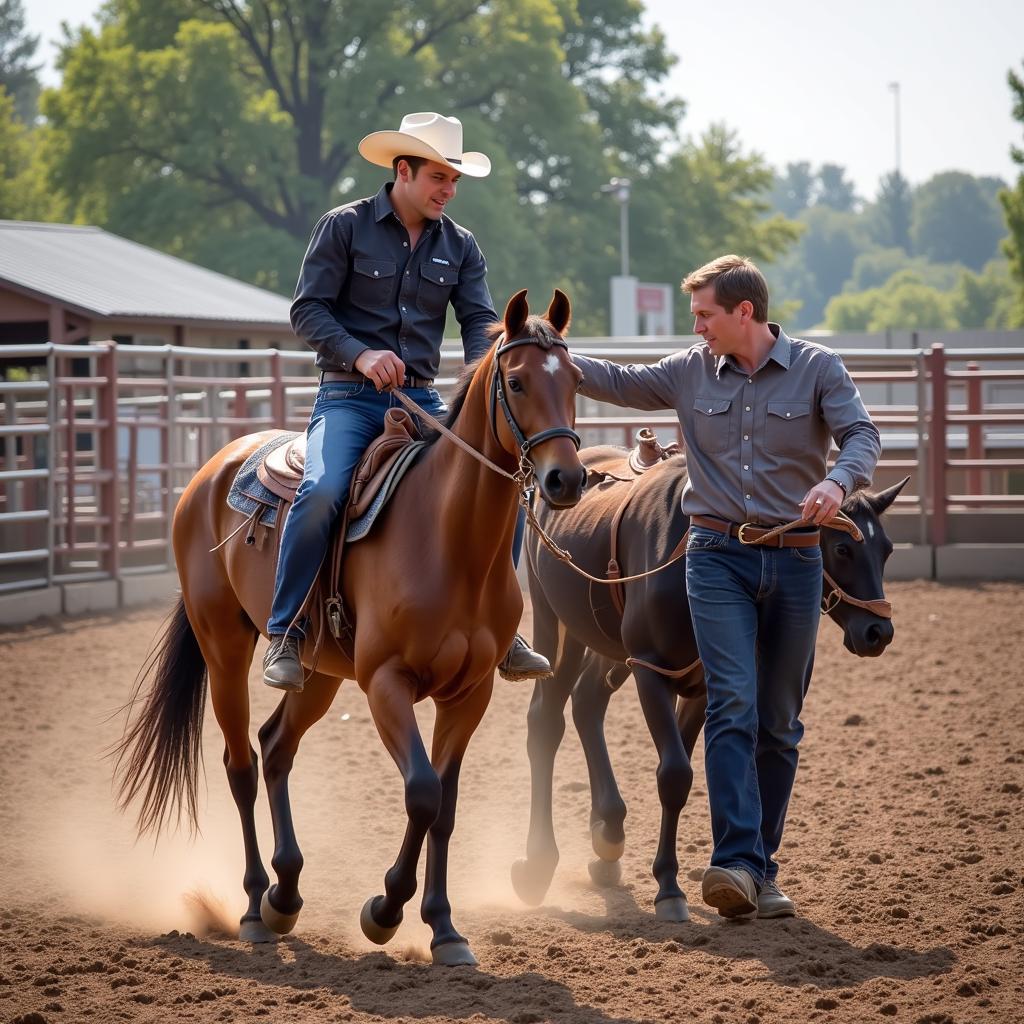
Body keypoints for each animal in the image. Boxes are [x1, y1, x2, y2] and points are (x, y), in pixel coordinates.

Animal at [114, 290, 585, 966]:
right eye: (517, 381)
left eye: (574, 379)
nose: (565, 479)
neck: (451, 542)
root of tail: (213, 470)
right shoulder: (386, 682)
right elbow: (421, 792)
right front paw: (384, 912)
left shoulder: (470, 694)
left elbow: (445, 808)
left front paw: (445, 929)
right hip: (224, 648)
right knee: (240, 764)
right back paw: (253, 909)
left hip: (318, 673)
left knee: (275, 746)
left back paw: (286, 895)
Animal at [512, 444, 905, 925]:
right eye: (843, 547)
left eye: (886, 549)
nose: (878, 632)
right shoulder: (651, 671)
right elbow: (674, 774)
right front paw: (668, 888)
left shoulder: (702, 686)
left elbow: (680, 778)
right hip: (558, 625)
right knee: (546, 722)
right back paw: (538, 863)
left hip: (608, 646)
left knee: (588, 703)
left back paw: (608, 834)